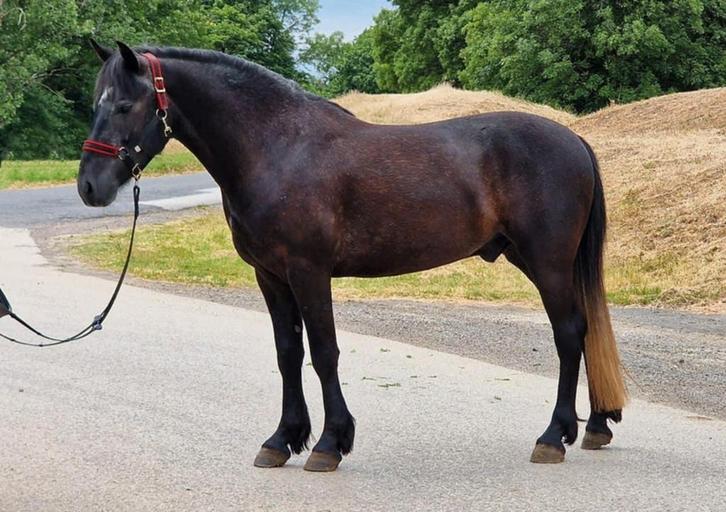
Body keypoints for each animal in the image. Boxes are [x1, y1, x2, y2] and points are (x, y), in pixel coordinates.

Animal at [79, 41, 627, 471]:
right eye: (95, 103)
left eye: (124, 104)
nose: (89, 187)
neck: (277, 148)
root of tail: (574, 139)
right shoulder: (270, 276)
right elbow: (288, 353)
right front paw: (282, 440)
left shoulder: (308, 272)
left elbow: (324, 352)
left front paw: (329, 443)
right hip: (537, 261)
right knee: (586, 330)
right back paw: (596, 426)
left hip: (548, 262)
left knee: (569, 334)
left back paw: (553, 437)